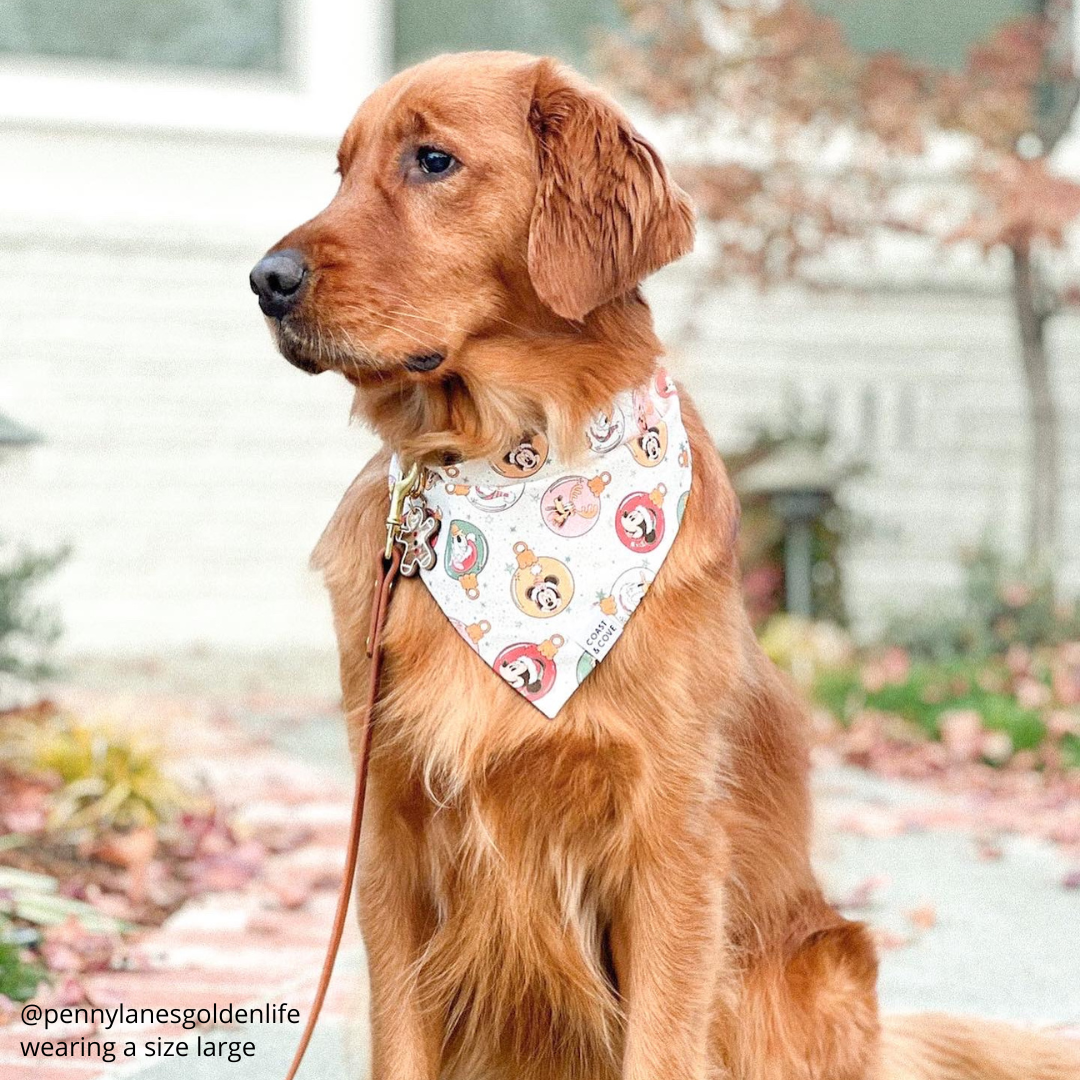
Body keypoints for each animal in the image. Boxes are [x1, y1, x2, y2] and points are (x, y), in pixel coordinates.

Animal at [248, 50, 1080, 1080]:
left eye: (432, 160)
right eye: (341, 171)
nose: (264, 280)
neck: (510, 464)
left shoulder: (669, 843)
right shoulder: (392, 835)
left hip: (805, 973)